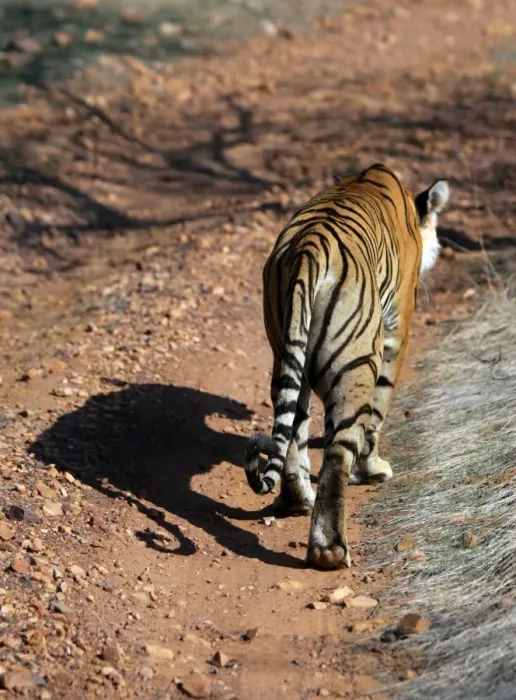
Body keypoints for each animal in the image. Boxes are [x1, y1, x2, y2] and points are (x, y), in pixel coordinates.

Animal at [245, 163, 449, 569]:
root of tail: (308, 250)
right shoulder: (396, 331)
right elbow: (379, 414)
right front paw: (373, 470)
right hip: (355, 365)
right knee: (338, 450)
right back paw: (329, 550)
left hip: (286, 353)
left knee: (292, 430)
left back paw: (296, 501)